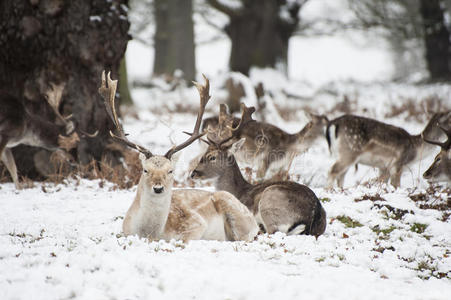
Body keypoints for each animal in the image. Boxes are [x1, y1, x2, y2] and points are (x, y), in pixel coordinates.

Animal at [100, 72, 260, 241]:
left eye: (170, 171)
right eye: (145, 170)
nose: (158, 188)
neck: (151, 233)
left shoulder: (196, 224)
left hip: (235, 211)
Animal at [192, 104, 328, 238]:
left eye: (212, 157)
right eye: (204, 154)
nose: (193, 173)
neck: (237, 191)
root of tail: (312, 216)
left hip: (269, 200)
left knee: (272, 231)